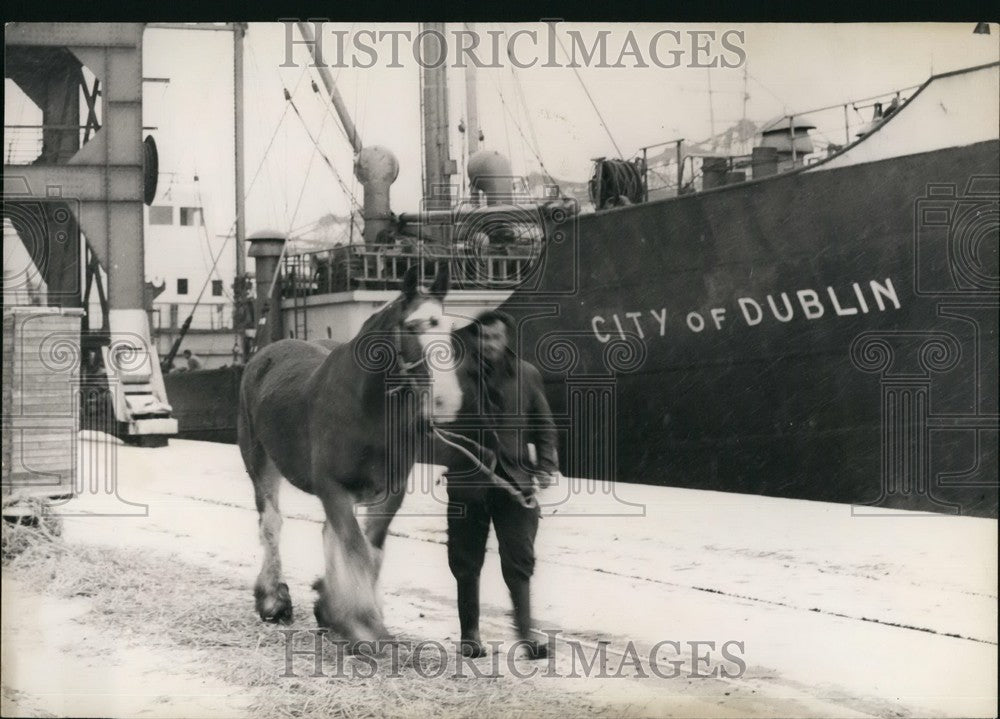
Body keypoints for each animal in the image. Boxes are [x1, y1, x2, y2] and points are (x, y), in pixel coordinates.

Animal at [238, 266, 464, 648]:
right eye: (412, 325)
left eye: (448, 328)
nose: (445, 401)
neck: (367, 408)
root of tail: (264, 353)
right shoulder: (333, 488)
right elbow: (356, 549)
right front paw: (363, 624)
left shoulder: (389, 492)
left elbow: (370, 552)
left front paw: (342, 613)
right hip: (259, 462)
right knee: (271, 524)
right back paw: (273, 601)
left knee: (328, 533)